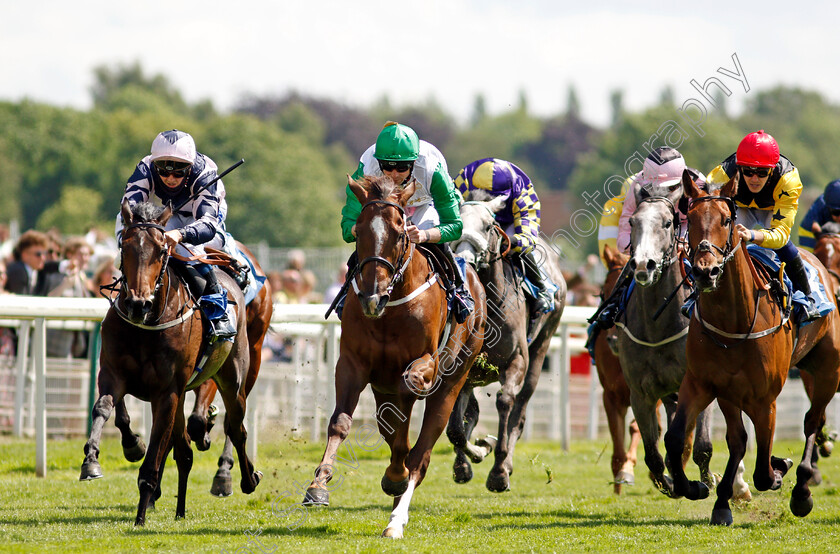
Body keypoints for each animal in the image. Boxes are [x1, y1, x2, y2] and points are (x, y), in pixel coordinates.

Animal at [79, 201, 262, 524]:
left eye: (162, 250)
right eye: (124, 246)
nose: (138, 303)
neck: (147, 324)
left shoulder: (167, 393)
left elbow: (153, 459)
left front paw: (140, 517)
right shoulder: (113, 375)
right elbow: (106, 409)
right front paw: (95, 459)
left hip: (234, 378)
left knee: (236, 428)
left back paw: (245, 479)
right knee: (185, 451)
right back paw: (180, 509)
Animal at [302, 176, 486, 536]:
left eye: (401, 232)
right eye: (358, 230)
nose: (372, 298)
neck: (391, 309)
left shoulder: (424, 364)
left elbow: (407, 413)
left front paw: (396, 479)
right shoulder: (352, 364)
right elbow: (341, 423)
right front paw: (319, 485)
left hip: (453, 380)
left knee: (422, 454)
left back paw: (397, 518)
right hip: (381, 386)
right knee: (393, 429)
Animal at [442, 192, 568, 490]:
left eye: (489, 226)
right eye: (457, 222)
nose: (464, 257)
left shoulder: (516, 361)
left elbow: (505, 403)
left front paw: (498, 469)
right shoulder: (463, 367)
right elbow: (456, 428)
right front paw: (471, 457)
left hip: (542, 346)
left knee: (519, 412)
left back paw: (506, 464)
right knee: (473, 413)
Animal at [616, 182, 748, 496]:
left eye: (667, 223)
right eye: (632, 222)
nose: (644, 265)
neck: (657, 327)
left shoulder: (703, 384)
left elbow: (701, 445)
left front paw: (703, 483)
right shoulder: (640, 393)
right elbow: (653, 454)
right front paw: (671, 483)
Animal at [664, 170, 840, 524]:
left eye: (726, 219)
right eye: (690, 217)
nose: (705, 271)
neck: (735, 321)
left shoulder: (765, 398)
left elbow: (762, 470)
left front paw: (778, 470)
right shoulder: (707, 384)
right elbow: (680, 439)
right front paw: (703, 492)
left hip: (828, 371)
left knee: (812, 421)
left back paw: (802, 489)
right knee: (744, 439)